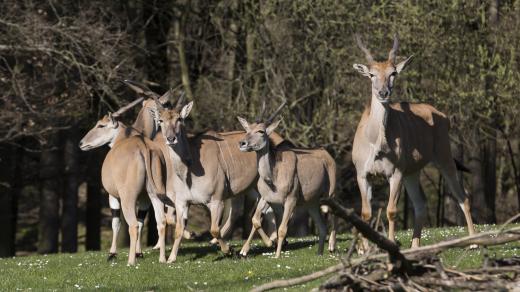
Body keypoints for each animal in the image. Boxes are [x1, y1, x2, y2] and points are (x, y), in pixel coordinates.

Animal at [79, 95, 170, 264]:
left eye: (101, 125)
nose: (81, 143)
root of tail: (144, 148)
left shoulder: (113, 195)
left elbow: (116, 222)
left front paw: (112, 254)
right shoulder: (144, 198)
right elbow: (142, 221)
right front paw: (139, 253)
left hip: (128, 198)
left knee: (133, 225)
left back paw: (130, 261)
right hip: (156, 195)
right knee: (161, 222)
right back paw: (162, 259)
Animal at [238, 101, 340, 258]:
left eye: (261, 131)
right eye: (247, 129)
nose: (242, 143)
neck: (273, 176)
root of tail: (327, 155)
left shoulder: (290, 200)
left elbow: (282, 229)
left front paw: (277, 255)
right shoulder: (266, 198)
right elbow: (255, 219)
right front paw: (244, 250)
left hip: (330, 194)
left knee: (334, 214)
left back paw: (332, 246)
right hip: (311, 203)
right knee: (322, 227)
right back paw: (319, 253)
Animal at [352, 33, 478, 250]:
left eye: (393, 73)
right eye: (371, 74)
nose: (383, 93)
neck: (375, 143)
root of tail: (443, 116)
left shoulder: (395, 173)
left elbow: (391, 211)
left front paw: (390, 244)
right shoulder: (362, 174)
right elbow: (365, 214)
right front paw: (365, 250)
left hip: (443, 159)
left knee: (463, 198)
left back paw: (472, 242)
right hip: (413, 172)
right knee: (420, 204)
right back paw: (415, 246)